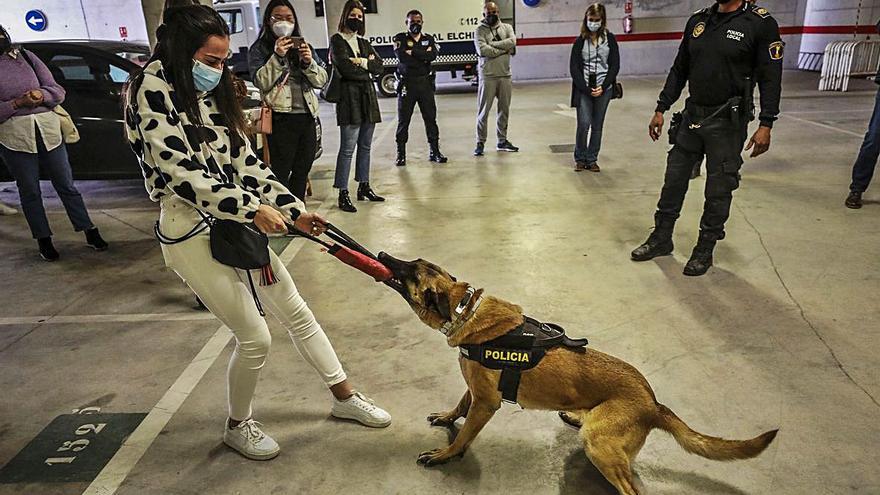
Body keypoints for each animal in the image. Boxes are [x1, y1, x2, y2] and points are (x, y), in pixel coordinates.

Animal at [378, 254, 776, 495]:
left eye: (409, 270)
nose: (381, 255)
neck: (465, 311)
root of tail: (654, 404)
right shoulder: (475, 392)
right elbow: (459, 405)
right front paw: (447, 417)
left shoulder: (487, 403)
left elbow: (464, 436)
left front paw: (447, 454)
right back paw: (574, 414)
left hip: (598, 444)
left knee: (630, 488)